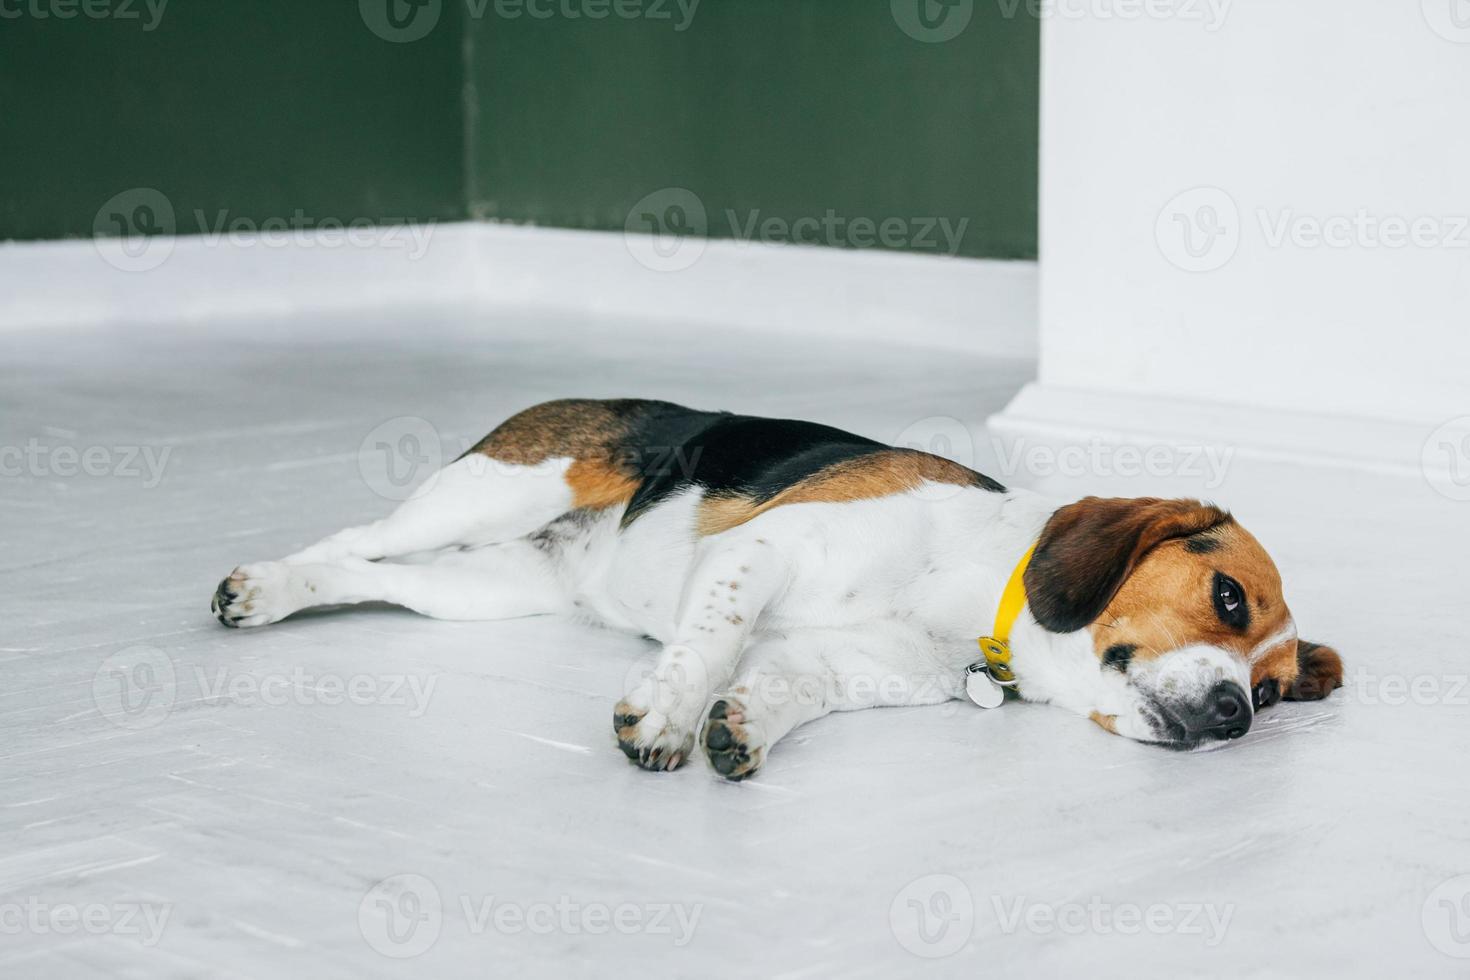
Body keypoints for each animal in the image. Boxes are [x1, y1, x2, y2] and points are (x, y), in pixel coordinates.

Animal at [210, 399, 1346, 781]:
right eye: (1229, 598)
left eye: (1275, 691)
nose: (1238, 714)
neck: (980, 593)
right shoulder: (762, 553)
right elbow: (713, 637)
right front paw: (671, 712)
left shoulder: (848, 664)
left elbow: (785, 683)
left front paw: (739, 722)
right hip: (491, 490)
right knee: (352, 539)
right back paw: (254, 584)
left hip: (487, 587)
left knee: (364, 575)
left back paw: (280, 593)